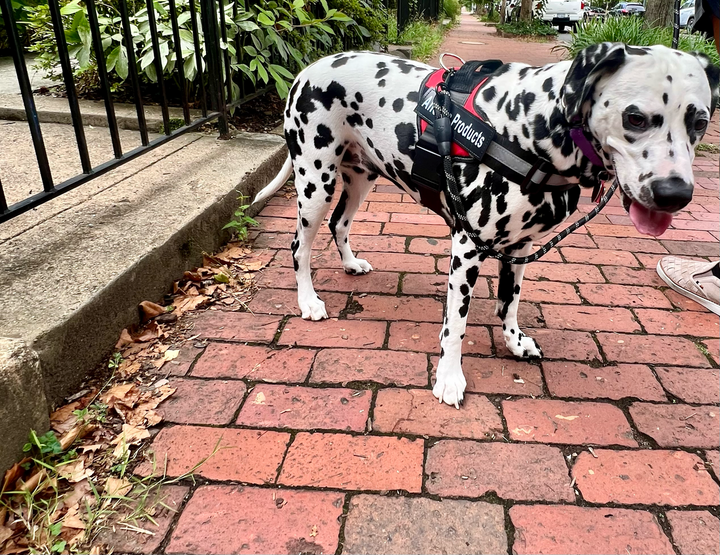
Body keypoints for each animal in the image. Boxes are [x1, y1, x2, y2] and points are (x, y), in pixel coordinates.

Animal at [256, 43, 716, 408]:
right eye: (636, 118)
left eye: (700, 122)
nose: (675, 193)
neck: (534, 125)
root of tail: (307, 71)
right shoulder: (468, 248)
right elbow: (455, 326)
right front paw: (449, 379)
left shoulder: (519, 249)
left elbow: (509, 302)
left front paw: (514, 342)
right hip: (315, 183)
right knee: (299, 247)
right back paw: (308, 302)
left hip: (359, 178)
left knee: (340, 224)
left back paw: (351, 264)